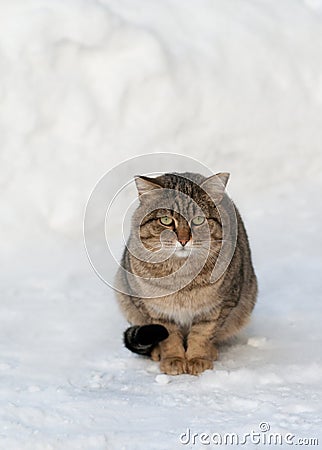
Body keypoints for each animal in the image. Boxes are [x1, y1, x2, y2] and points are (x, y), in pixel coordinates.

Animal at [114, 172, 258, 376]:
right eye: (166, 220)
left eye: (198, 220)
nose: (183, 240)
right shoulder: (154, 309)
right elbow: (169, 337)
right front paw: (173, 359)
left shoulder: (219, 306)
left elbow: (202, 334)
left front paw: (198, 358)